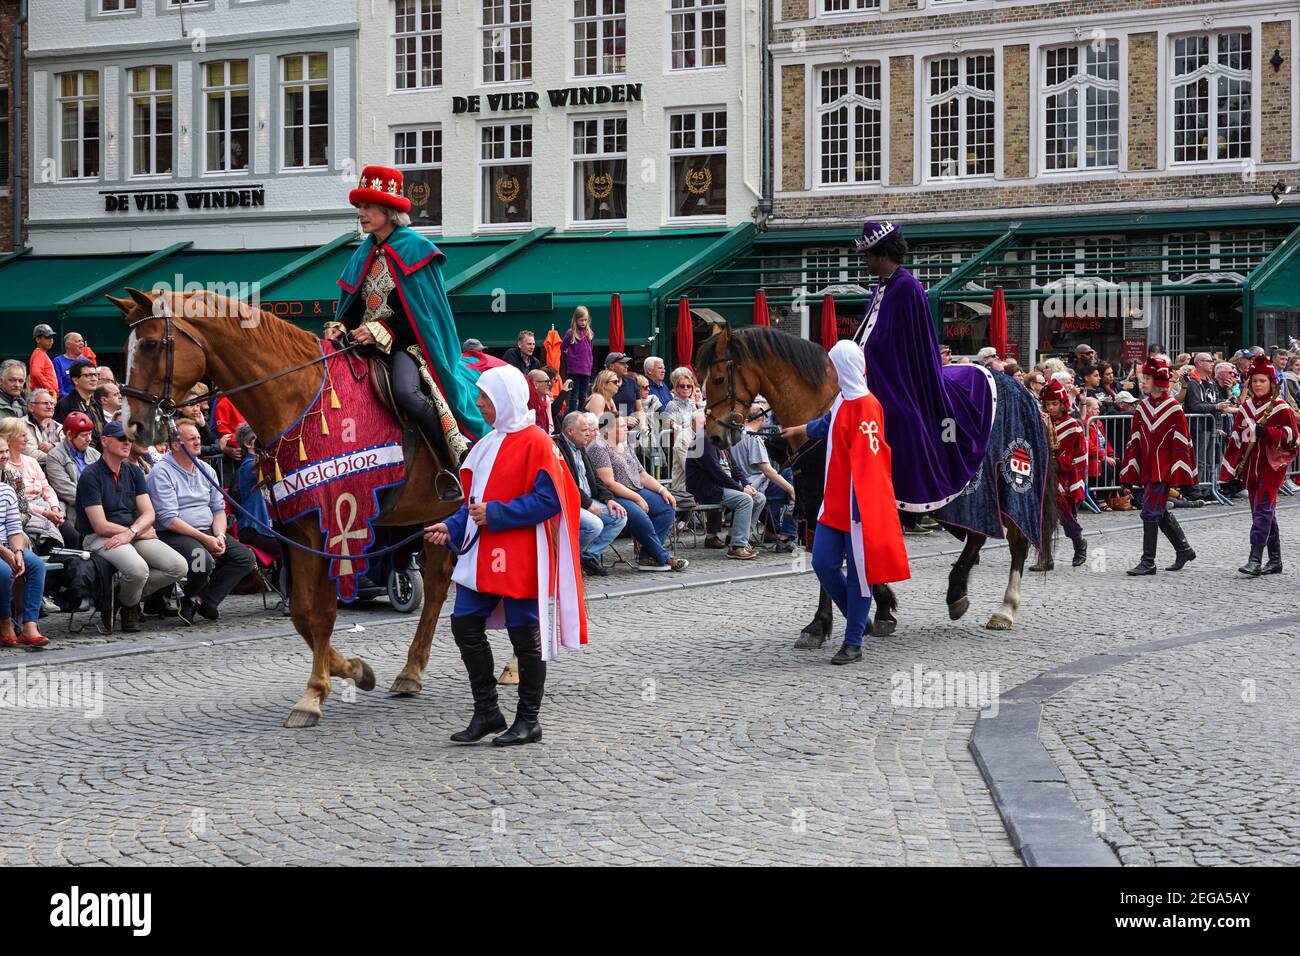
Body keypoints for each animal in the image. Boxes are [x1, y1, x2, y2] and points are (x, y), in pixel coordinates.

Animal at [110, 287, 457, 728]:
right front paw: (350, 673)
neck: (297, 397)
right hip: (433, 516)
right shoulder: (297, 526)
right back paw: (411, 673)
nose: (132, 427)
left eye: (153, 344)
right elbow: (303, 614)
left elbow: (322, 611)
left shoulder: (335, 524)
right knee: (438, 585)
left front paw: (313, 697)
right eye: (125, 349)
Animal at [691, 327, 1045, 634]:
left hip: (1010, 485)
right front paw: (880, 608)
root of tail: (1022, 390)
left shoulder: (831, 500)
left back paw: (1004, 608)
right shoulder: (817, 500)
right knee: (978, 537)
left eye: (719, 378)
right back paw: (957, 592)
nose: (715, 435)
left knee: (1016, 542)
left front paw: (823, 623)